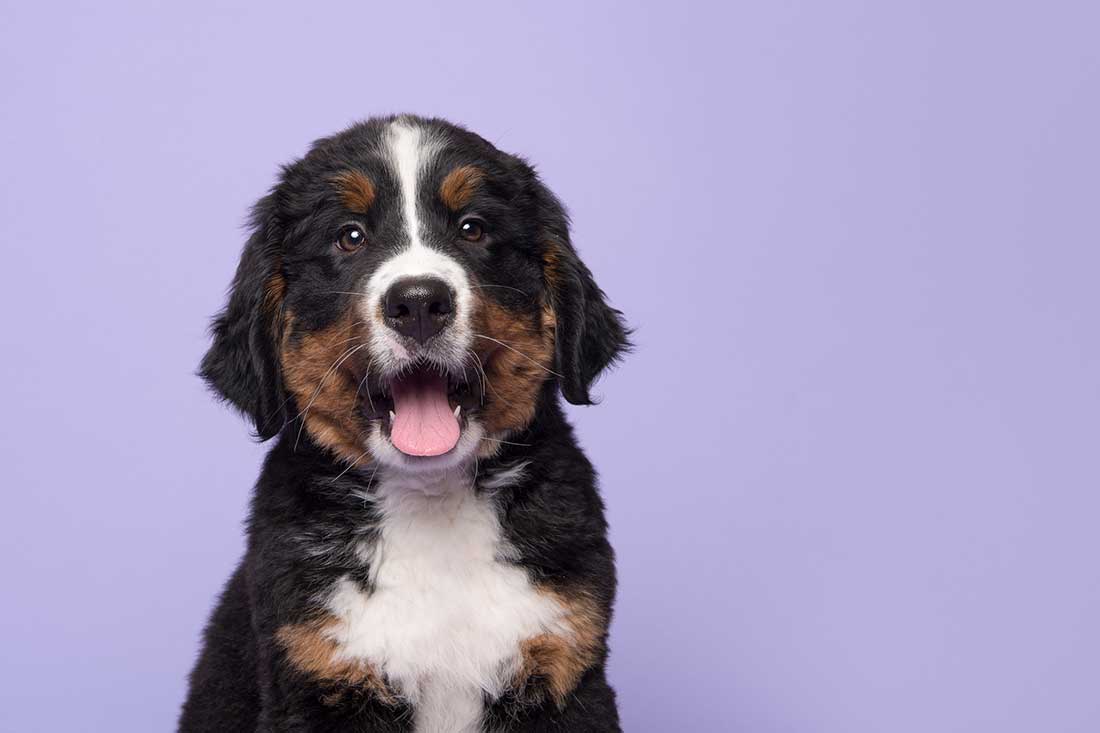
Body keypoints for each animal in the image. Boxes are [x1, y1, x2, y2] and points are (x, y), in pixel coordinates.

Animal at [179, 115, 629, 730]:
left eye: (472, 229)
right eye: (349, 237)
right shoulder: (315, 676)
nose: (418, 302)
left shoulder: (565, 667)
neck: (431, 502)